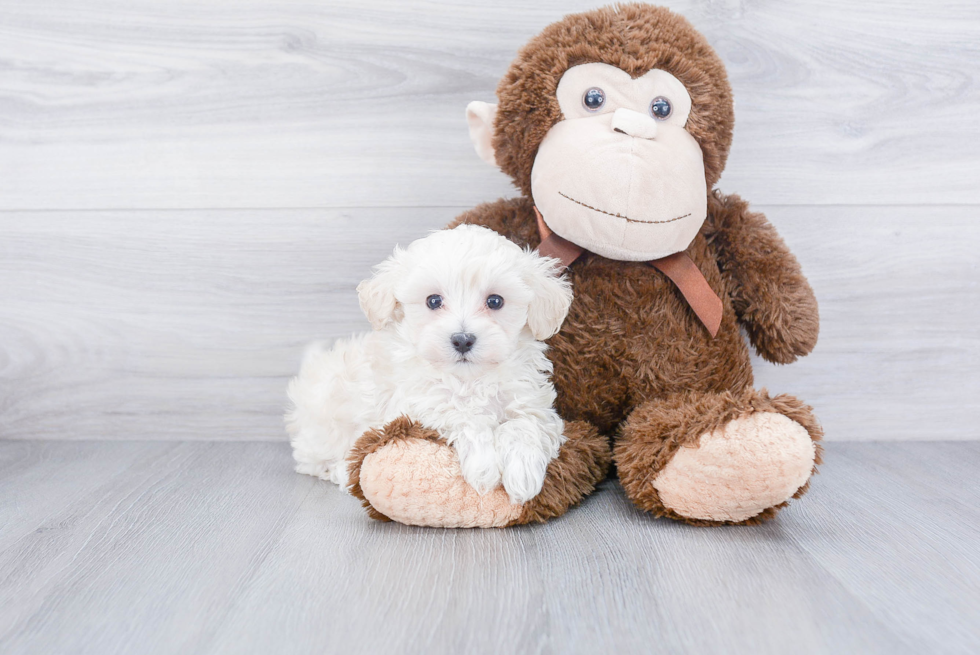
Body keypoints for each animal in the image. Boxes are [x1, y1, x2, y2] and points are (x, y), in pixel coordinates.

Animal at [284, 226, 576, 508]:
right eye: (433, 301)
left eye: (495, 301)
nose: (462, 339)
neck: (469, 379)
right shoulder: (415, 404)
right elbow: (461, 415)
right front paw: (483, 467)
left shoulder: (531, 403)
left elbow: (524, 425)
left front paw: (522, 473)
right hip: (323, 429)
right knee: (315, 461)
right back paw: (342, 473)